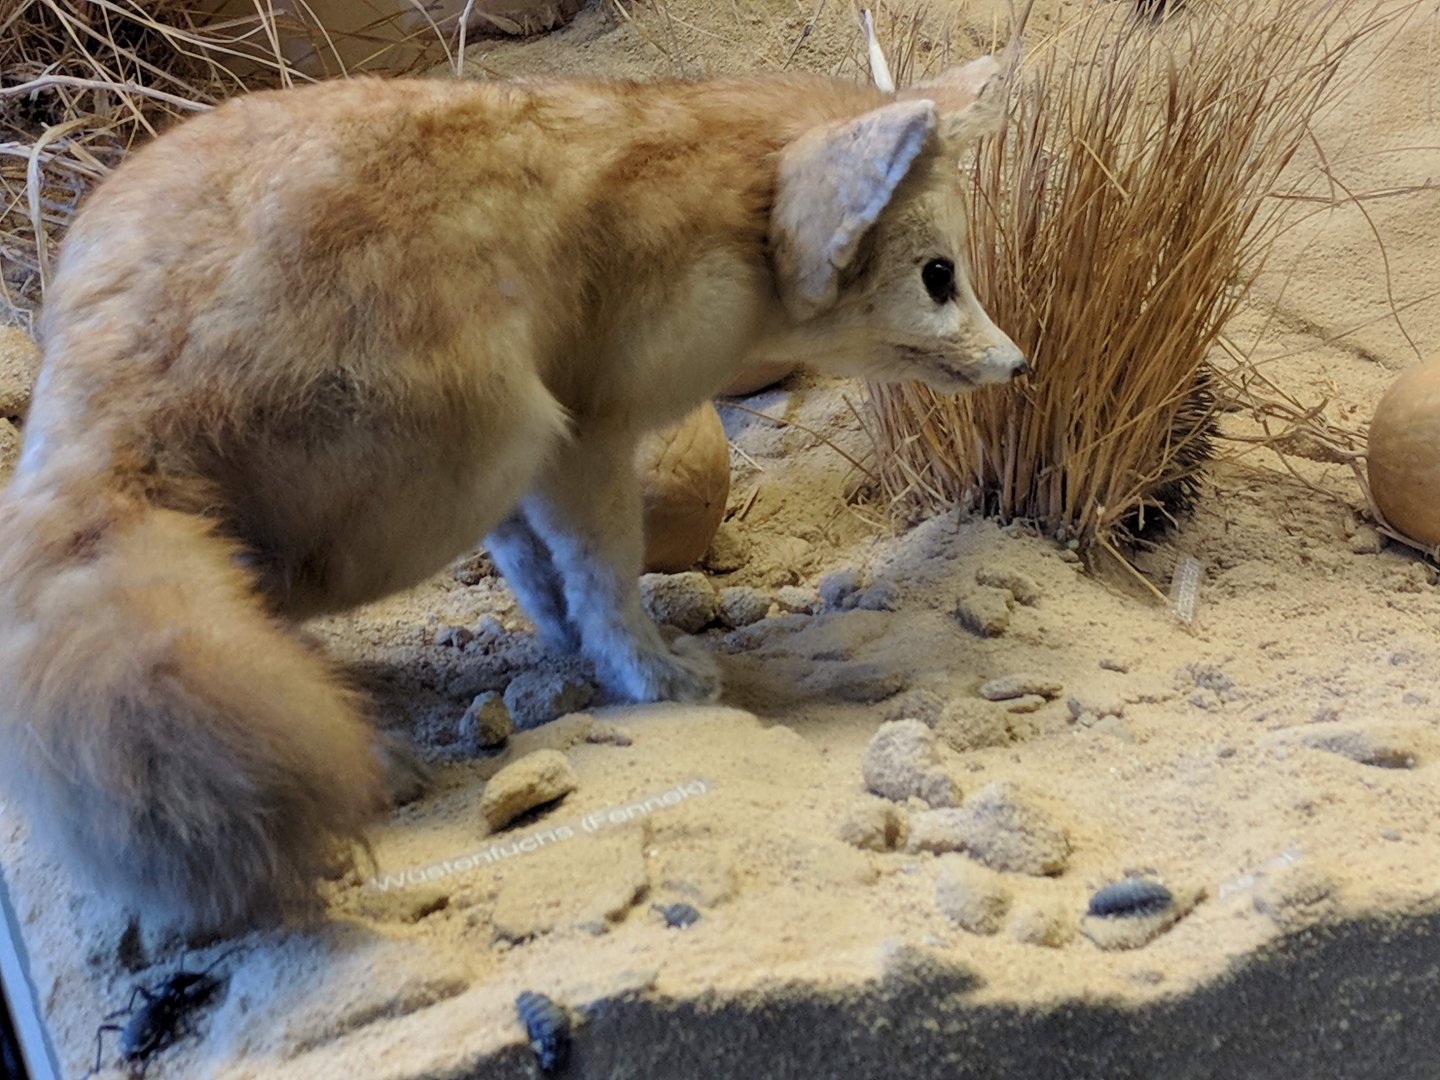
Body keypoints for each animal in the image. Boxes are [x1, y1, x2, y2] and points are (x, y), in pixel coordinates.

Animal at [0, 57, 1026, 932]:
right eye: (940, 278)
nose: (1020, 364)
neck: (724, 200)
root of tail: (99, 396)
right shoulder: (584, 434)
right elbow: (604, 572)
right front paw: (651, 677)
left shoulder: (550, 459)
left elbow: (537, 568)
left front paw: (571, 646)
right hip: (469, 450)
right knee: (263, 603)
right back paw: (373, 755)